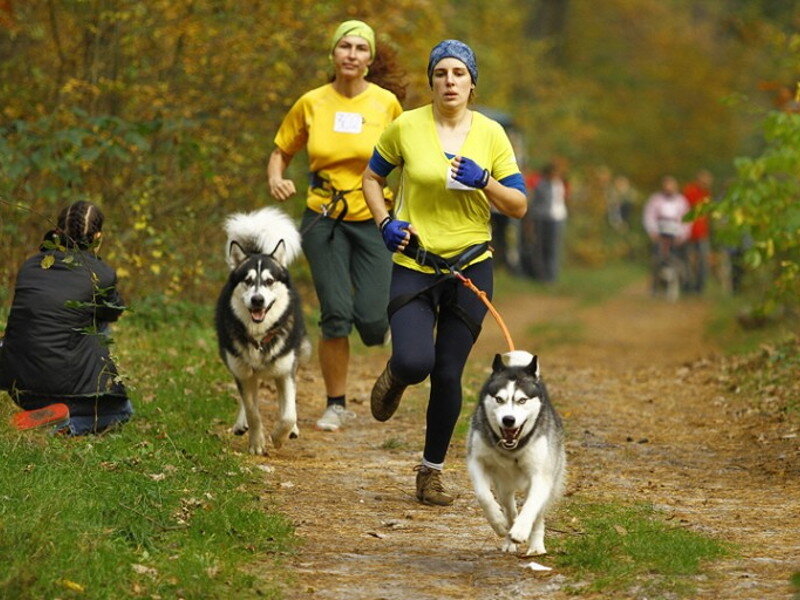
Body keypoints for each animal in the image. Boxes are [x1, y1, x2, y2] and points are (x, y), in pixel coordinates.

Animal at [214, 206, 310, 454]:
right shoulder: (242, 372)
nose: (257, 300)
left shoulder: (285, 371)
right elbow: (253, 411)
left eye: (269, 281)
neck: (259, 337)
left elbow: (288, 413)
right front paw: (257, 442)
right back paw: (241, 424)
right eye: (248, 281)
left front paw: (279, 436)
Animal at [466, 352, 564, 556]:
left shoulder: (541, 475)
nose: (508, 420)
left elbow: (531, 506)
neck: (512, 449)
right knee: (510, 509)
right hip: (504, 486)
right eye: (499, 399)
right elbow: (483, 495)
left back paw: (536, 546)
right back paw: (508, 536)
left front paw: (520, 530)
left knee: (537, 514)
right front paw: (498, 523)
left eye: (522, 400)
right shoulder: (476, 460)